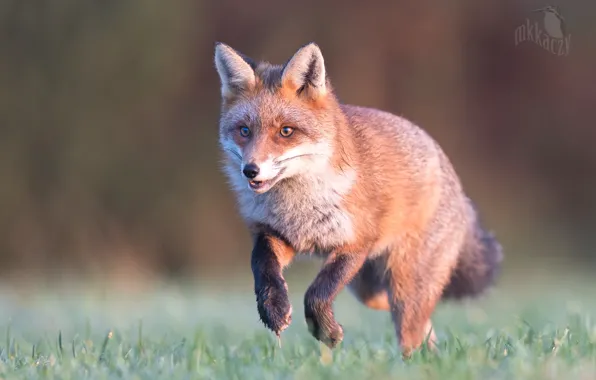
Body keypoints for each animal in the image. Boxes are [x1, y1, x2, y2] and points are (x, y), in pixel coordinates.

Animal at [214, 41, 502, 356]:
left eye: (285, 131)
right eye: (244, 131)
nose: (250, 170)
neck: (298, 207)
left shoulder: (356, 242)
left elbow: (317, 293)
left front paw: (325, 331)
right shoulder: (277, 235)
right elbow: (262, 267)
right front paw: (274, 309)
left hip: (404, 284)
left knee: (412, 326)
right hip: (369, 290)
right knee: (416, 320)